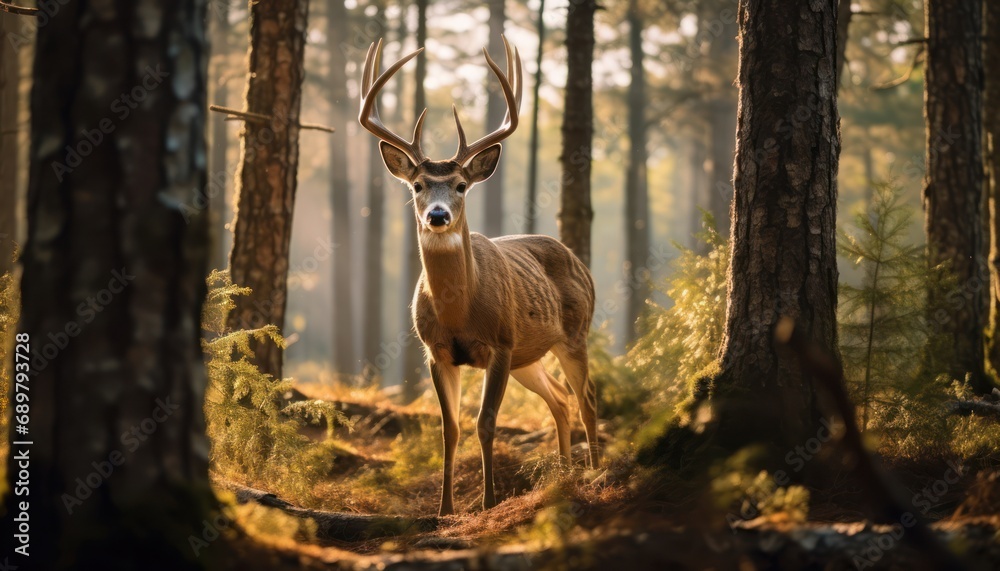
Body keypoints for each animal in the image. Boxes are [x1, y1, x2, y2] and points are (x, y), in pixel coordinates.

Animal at [358, 37, 599, 516]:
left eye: (461, 185)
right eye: (417, 185)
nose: (437, 215)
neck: (459, 312)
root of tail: (579, 261)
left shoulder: (501, 343)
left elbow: (486, 422)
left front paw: (487, 502)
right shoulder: (436, 351)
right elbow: (449, 428)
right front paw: (445, 509)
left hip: (573, 334)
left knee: (587, 401)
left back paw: (598, 473)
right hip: (530, 355)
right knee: (561, 400)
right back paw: (563, 476)